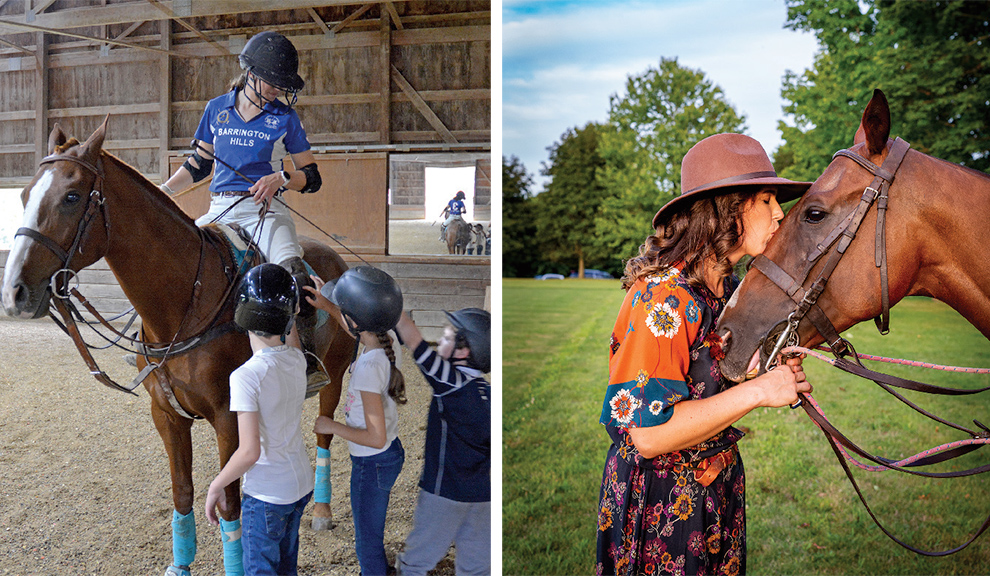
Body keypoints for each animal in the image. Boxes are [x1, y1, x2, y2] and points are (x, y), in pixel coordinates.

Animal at [0, 119, 356, 572]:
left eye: (72, 197)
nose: (14, 292)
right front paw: (180, 563)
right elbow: (182, 491)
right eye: (24, 195)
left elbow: (228, 503)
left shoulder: (227, 416)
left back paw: (322, 512)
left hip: (335, 373)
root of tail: (337, 258)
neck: (182, 306)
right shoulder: (166, 415)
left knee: (324, 433)